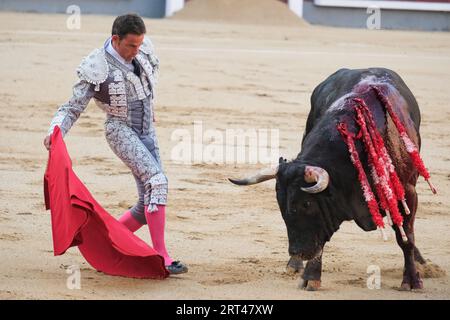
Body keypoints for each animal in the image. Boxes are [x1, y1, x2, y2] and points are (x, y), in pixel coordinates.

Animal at [230, 69, 430, 292]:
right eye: (280, 204)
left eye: (306, 203)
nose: (297, 252)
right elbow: (320, 240)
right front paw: (310, 276)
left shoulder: (408, 192)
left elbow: (406, 238)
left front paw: (411, 280)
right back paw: (294, 265)